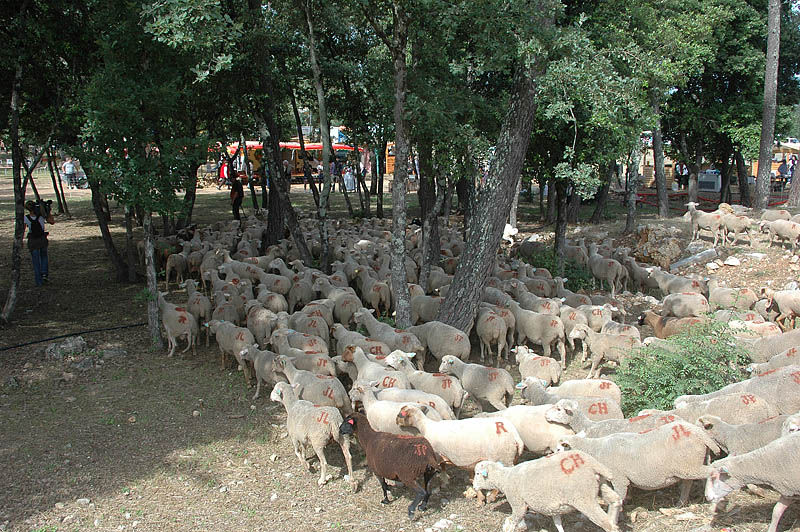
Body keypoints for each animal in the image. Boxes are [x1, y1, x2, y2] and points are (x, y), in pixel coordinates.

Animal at [395, 405, 524, 470]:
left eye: (400, 414)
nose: (396, 421)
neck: (426, 426)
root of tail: (515, 435)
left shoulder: (438, 454)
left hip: (503, 458)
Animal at [472, 455, 620, 532]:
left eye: (478, 473)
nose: (474, 487)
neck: (505, 478)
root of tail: (592, 463)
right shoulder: (553, 508)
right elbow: (558, 523)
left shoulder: (518, 503)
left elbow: (510, 522)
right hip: (601, 485)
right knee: (616, 501)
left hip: (584, 497)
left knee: (606, 523)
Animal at [557, 421, 720, 524]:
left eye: (559, 448)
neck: (595, 450)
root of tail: (699, 432)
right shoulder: (610, 480)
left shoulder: (619, 478)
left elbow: (618, 498)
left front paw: (615, 518)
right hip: (691, 464)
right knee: (691, 481)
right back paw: (681, 503)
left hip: (689, 465)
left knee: (713, 471)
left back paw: (711, 497)